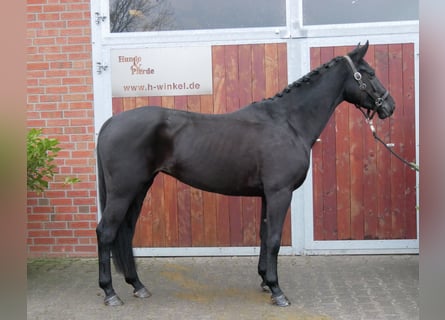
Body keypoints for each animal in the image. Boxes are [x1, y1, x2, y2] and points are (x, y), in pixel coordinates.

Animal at [95, 41, 394, 306]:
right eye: (369, 73)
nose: (389, 106)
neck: (288, 123)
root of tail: (110, 123)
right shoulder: (279, 193)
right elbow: (273, 240)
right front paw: (277, 290)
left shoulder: (267, 195)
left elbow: (263, 235)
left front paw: (264, 280)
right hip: (124, 191)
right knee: (106, 232)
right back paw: (110, 293)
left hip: (140, 188)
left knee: (126, 232)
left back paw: (138, 285)